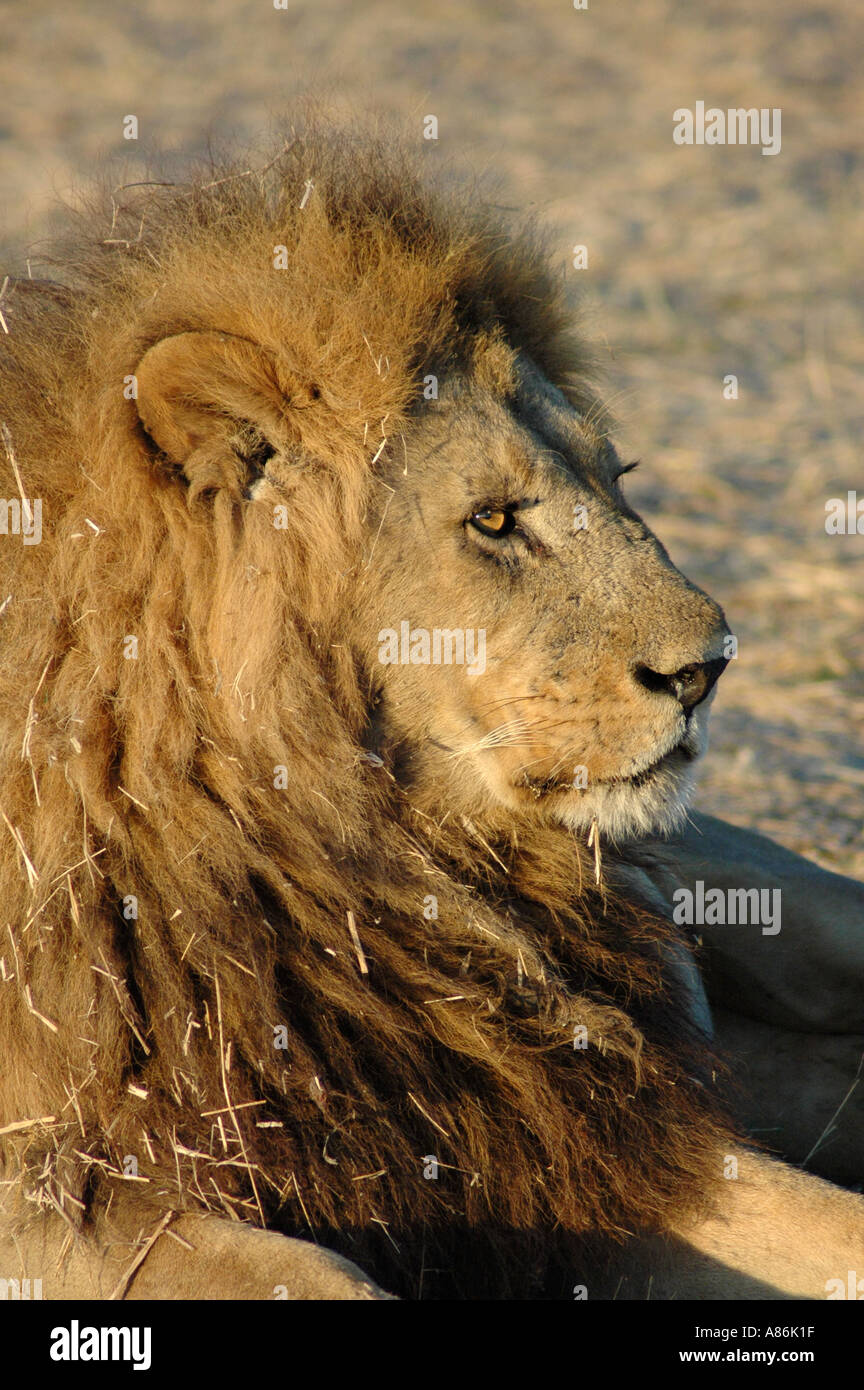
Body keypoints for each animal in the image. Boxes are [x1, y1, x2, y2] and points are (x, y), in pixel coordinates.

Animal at [0, 121, 862, 1301]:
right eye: (494, 520)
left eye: (619, 476)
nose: (705, 670)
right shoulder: (67, 1192)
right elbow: (322, 1279)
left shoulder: (574, 1122)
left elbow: (827, 1223)